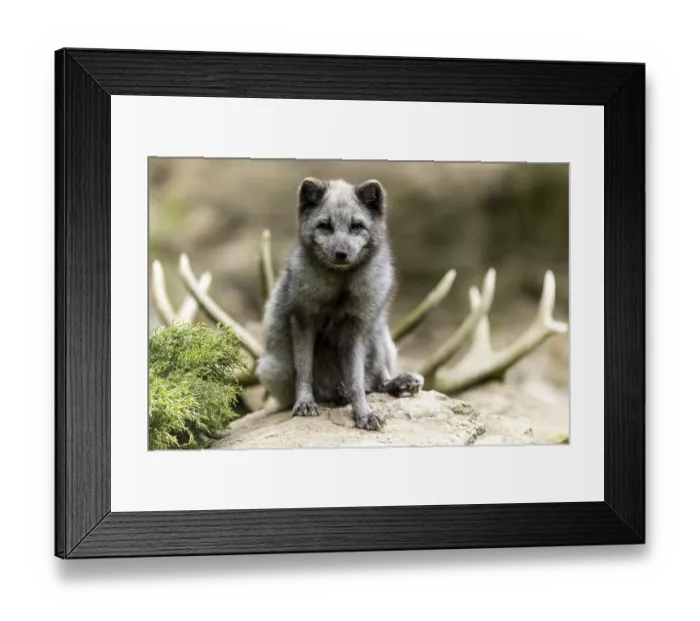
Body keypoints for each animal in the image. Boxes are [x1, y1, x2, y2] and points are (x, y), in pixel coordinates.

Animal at [255, 177, 424, 431]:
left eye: (356, 226)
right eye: (325, 226)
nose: (341, 253)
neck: (340, 288)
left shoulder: (355, 328)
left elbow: (356, 380)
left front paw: (364, 413)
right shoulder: (303, 320)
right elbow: (304, 370)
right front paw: (305, 403)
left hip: (379, 333)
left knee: (375, 381)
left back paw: (396, 383)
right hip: (273, 368)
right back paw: (337, 395)